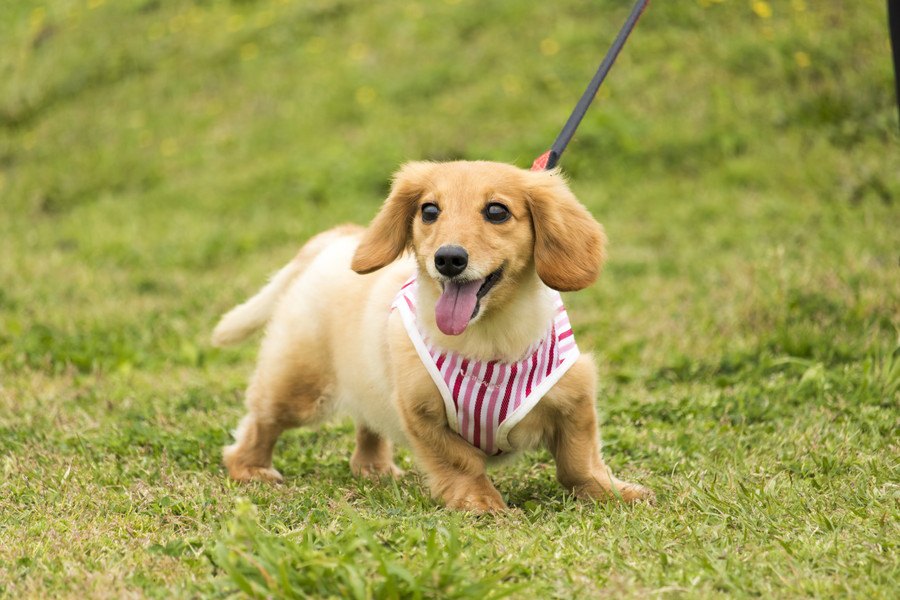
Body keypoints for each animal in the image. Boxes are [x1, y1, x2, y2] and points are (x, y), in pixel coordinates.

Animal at [214, 159, 652, 510]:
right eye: (429, 210)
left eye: (497, 211)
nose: (449, 259)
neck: (489, 341)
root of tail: (335, 240)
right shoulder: (421, 412)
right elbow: (462, 462)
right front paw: (481, 503)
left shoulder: (575, 397)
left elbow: (580, 461)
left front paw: (612, 492)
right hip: (299, 387)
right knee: (262, 423)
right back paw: (251, 468)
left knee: (368, 422)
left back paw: (373, 468)